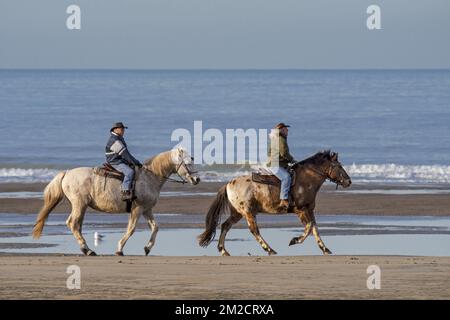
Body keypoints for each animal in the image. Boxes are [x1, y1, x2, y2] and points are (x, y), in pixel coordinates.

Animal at [32, 147, 200, 255]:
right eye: (188, 163)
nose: (197, 179)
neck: (149, 177)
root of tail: (66, 173)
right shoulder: (137, 209)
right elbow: (131, 229)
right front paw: (119, 249)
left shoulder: (147, 209)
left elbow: (155, 227)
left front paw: (147, 248)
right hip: (79, 205)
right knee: (73, 224)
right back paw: (88, 250)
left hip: (82, 206)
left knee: (76, 225)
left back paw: (87, 249)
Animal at [200, 151, 352, 256]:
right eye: (339, 166)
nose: (349, 181)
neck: (306, 180)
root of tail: (228, 184)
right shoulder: (301, 210)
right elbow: (309, 227)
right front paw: (294, 240)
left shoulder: (309, 210)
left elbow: (315, 229)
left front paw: (325, 249)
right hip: (248, 212)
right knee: (254, 230)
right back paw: (270, 249)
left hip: (237, 213)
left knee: (225, 226)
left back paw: (223, 250)